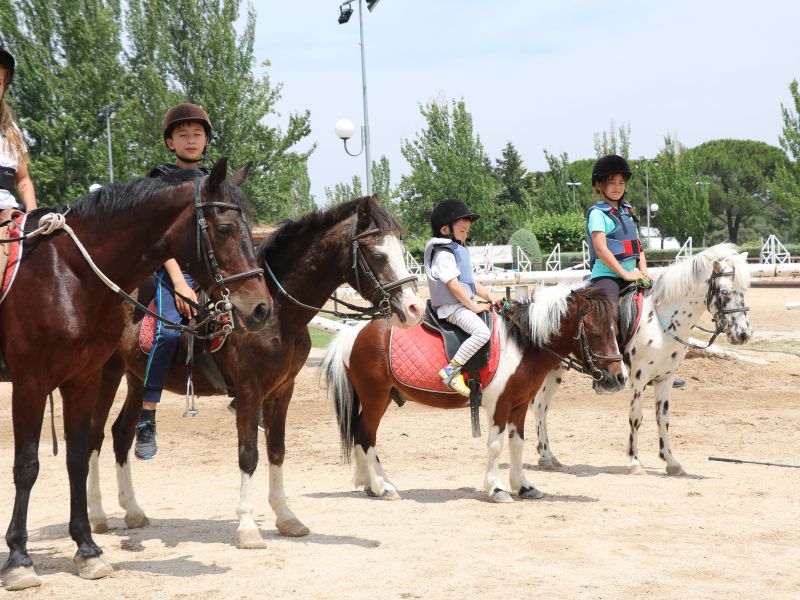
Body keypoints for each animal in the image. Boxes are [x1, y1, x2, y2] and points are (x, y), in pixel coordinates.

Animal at [0, 158, 272, 592]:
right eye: (226, 228)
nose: (260, 308)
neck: (69, 273)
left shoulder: (82, 379)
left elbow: (77, 458)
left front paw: (87, 550)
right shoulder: (30, 382)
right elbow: (26, 466)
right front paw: (19, 560)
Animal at [85, 196, 424, 548]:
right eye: (378, 255)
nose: (415, 309)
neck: (277, 314)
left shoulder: (282, 390)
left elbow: (277, 449)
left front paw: (286, 517)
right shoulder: (250, 391)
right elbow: (249, 454)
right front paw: (247, 527)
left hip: (138, 379)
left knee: (121, 434)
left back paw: (132, 510)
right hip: (105, 376)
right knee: (94, 436)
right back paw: (96, 515)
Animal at [322, 282, 628, 502]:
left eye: (615, 329)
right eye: (595, 332)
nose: (619, 376)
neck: (521, 344)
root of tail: (353, 333)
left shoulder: (519, 405)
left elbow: (517, 444)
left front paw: (524, 486)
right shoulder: (499, 405)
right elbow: (496, 444)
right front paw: (497, 489)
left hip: (380, 397)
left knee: (359, 432)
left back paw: (368, 484)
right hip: (375, 397)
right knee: (366, 436)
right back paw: (382, 486)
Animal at [536, 241, 752, 476]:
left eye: (745, 291)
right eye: (725, 292)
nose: (743, 334)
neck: (662, 321)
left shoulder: (666, 377)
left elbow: (663, 418)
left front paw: (671, 461)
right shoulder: (638, 377)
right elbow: (636, 417)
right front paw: (635, 462)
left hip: (556, 370)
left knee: (542, 407)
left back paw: (548, 456)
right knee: (538, 406)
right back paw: (545, 457)